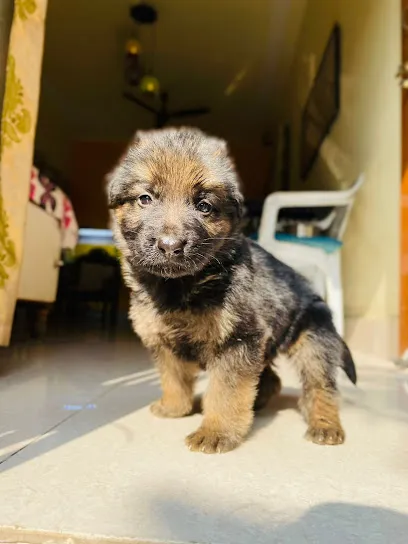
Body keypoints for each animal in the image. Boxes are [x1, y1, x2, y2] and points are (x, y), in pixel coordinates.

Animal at [106, 125, 356, 452]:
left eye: (204, 206)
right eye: (145, 198)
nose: (170, 246)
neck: (183, 285)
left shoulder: (238, 341)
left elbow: (226, 392)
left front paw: (216, 431)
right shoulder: (164, 340)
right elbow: (173, 377)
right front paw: (175, 407)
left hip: (313, 341)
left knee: (321, 387)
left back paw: (325, 425)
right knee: (272, 380)